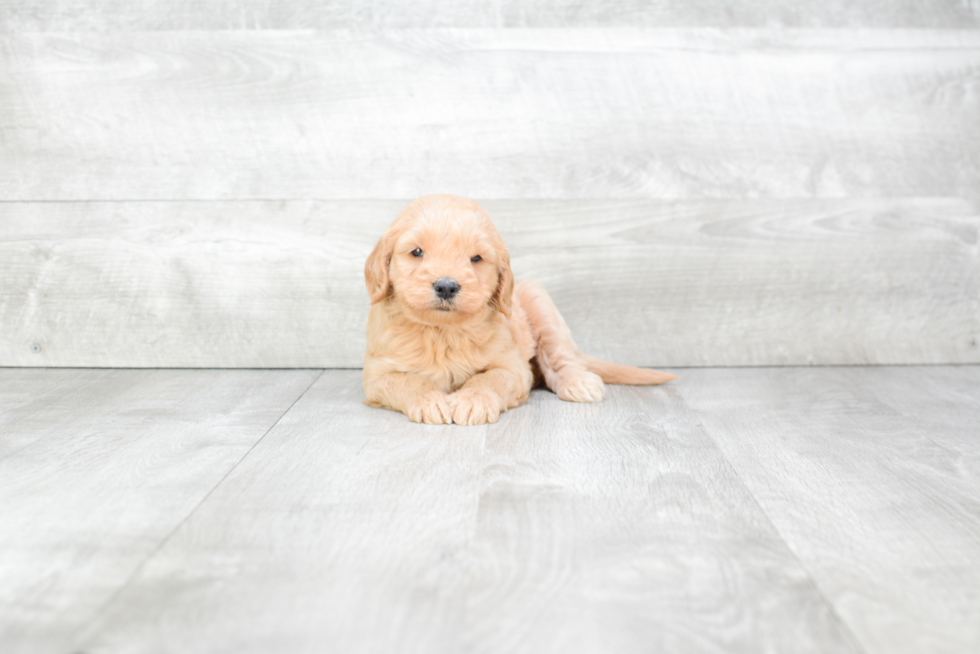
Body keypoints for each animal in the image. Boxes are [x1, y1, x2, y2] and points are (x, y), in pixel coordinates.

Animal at [364, 193, 676, 426]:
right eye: (416, 252)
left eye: (476, 258)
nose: (446, 286)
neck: (443, 332)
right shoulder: (377, 374)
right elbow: (409, 382)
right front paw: (431, 401)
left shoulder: (512, 367)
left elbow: (489, 379)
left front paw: (472, 400)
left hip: (539, 302)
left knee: (560, 360)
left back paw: (579, 383)